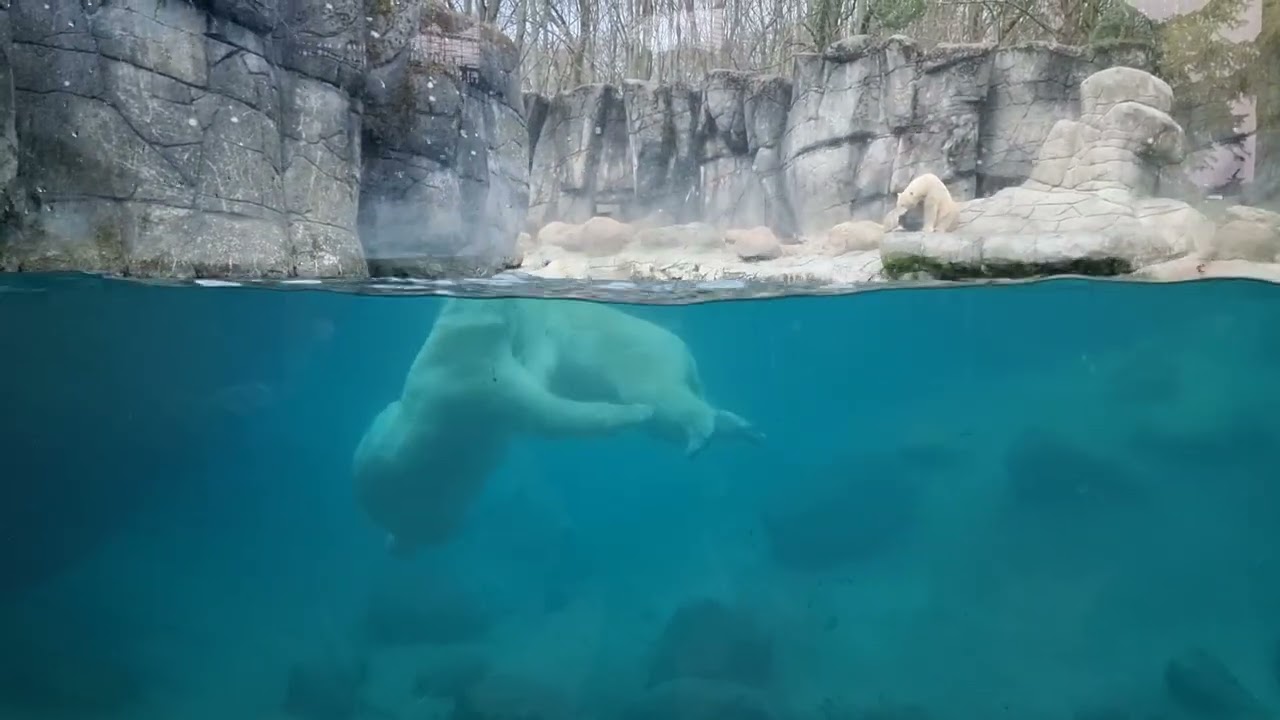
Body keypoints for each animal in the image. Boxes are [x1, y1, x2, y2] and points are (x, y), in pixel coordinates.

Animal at [352, 298, 763, 554]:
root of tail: (687, 358)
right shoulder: (478, 376)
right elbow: (544, 406)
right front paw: (634, 412)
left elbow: (542, 397)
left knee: (669, 403)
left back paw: (723, 431)